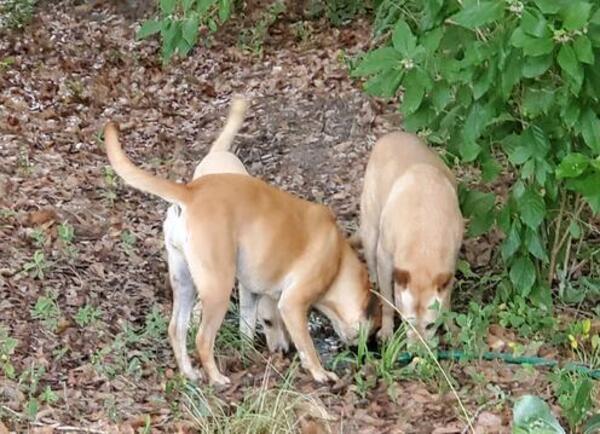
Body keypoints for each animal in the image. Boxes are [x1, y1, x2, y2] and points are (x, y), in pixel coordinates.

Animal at [102, 110, 376, 384]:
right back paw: (216, 378)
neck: (338, 260)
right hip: (217, 288)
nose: (281, 351)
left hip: (185, 282)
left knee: (176, 330)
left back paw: (190, 373)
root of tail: (190, 192)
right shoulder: (292, 303)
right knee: (203, 338)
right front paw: (320, 373)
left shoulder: (251, 291)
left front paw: (247, 354)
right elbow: (307, 346)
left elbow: (246, 325)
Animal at [356, 132, 464, 342]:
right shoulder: (385, 258)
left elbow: (446, 301)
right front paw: (387, 329)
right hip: (370, 228)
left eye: (430, 325)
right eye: (407, 323)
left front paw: (450, 326)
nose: (418, 350)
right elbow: (388, 301)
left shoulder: (450, 265)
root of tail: (391, 135)